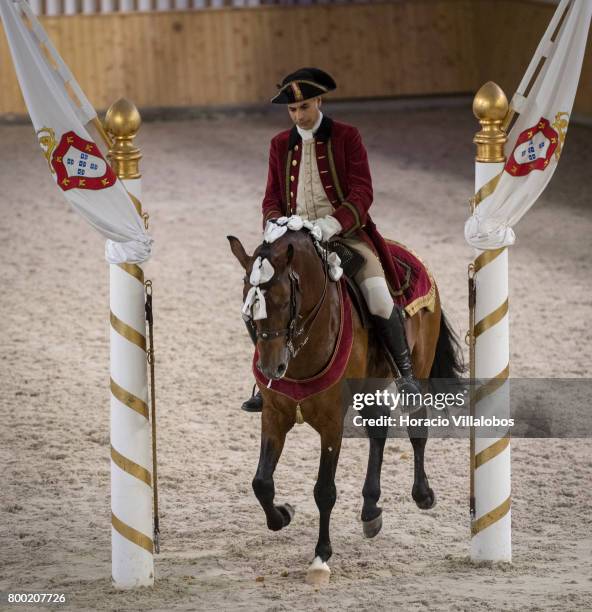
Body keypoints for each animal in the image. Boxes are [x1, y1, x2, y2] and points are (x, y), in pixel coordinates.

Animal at [229, 224, 464, 584]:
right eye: (247, 303)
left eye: (284, 301)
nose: (271, 369)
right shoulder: (274, 416)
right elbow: (261, 483)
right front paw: (283, 514)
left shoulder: (331, 425)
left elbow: (324, 490)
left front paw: (321, 555)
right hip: (369, 388)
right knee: (379, 429)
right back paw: (370, 509)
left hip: (419, 371)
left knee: (417, 429)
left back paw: (422, 494)